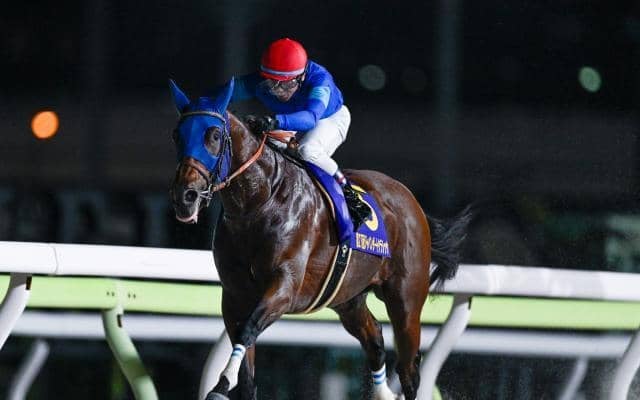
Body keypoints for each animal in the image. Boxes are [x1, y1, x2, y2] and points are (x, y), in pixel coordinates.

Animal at [168, 78, 471, 400]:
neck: (259, 201)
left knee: (409, 368)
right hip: (348, 297)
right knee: (375, 341)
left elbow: (249, 329)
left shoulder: (285, 287)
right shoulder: (236, 295)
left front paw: (222, 383)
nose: (185, 196)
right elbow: (246, 366)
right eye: (177, 135)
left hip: (407, 299)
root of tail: (412, 201)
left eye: (214, 134)